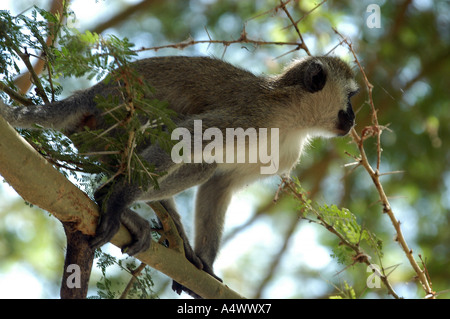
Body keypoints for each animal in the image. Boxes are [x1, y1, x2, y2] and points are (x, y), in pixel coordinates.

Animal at [0, 55, 358, 296]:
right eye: (352, 97)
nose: (354, 117)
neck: (291, 119)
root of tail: (93, 93)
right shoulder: (253, 116)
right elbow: (183, 136)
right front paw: (117, 201)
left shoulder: (283, 155)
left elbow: (219, 184)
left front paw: (206, 265)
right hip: (116, 122)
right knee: (191, 156)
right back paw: (114, 200)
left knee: (202, 167)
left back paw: (175, 236)